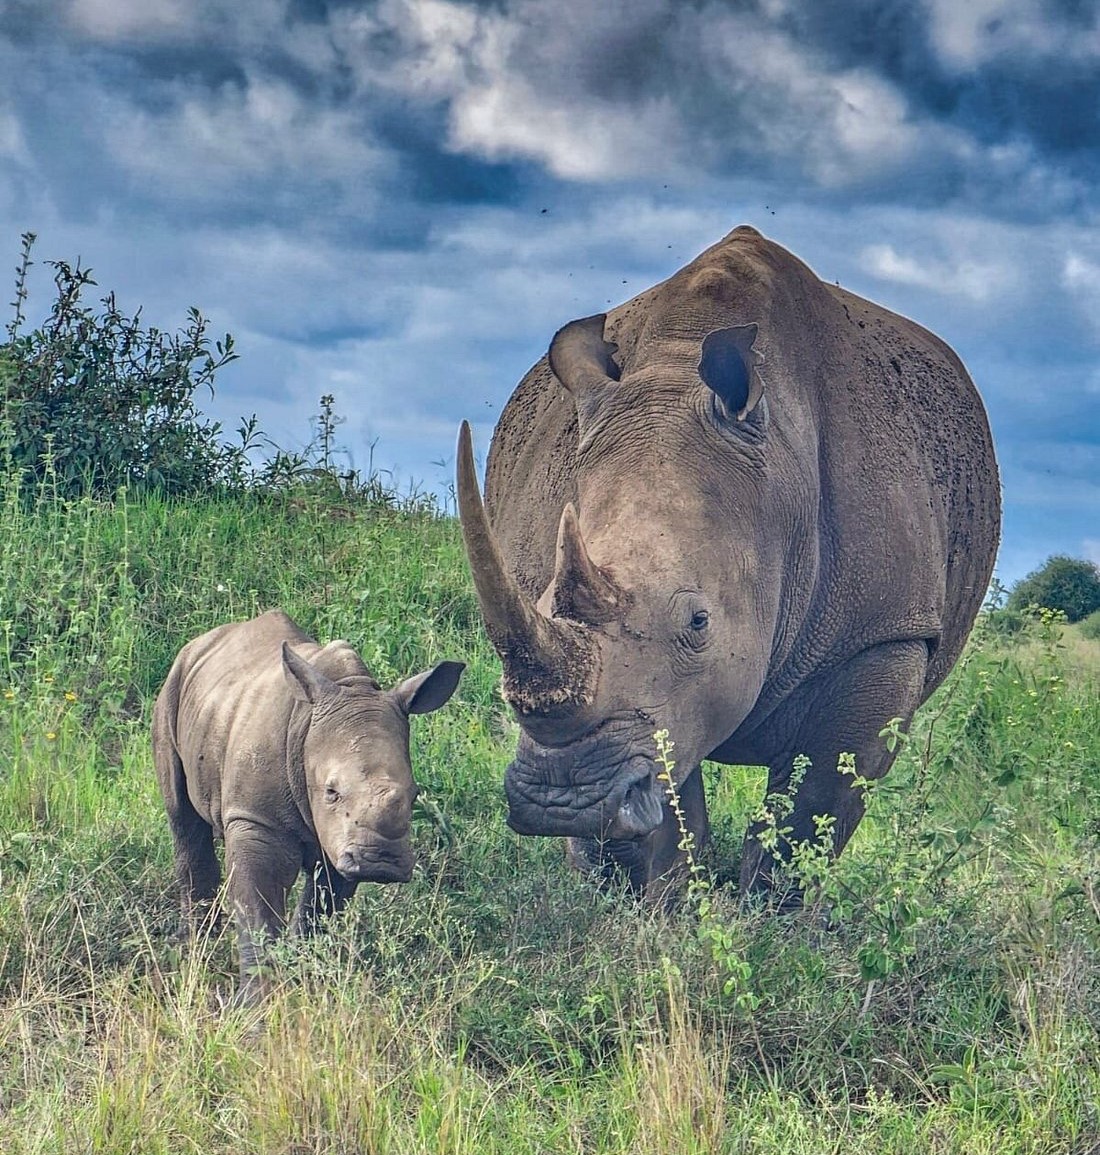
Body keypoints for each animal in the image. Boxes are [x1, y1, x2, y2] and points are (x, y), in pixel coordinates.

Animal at [152, 610, 464, 1002]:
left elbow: (321, 910)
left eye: (414, 795)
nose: (382, 863)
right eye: (330, 791)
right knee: (182, 817)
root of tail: (206, 640)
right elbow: (259, 911)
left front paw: (305, 977)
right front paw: (258, 1002)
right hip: (173, 684)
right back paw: (195, 947)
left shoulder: (343, 842)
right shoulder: (257, 821)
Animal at [458, 225, 1000, 902]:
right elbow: (670, 797)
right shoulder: (654, 701)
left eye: (699, 622)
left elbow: (814, 811)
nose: (564, 800)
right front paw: (658, 907)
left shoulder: (886, 633)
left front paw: (767, 918)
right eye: (543, 600)